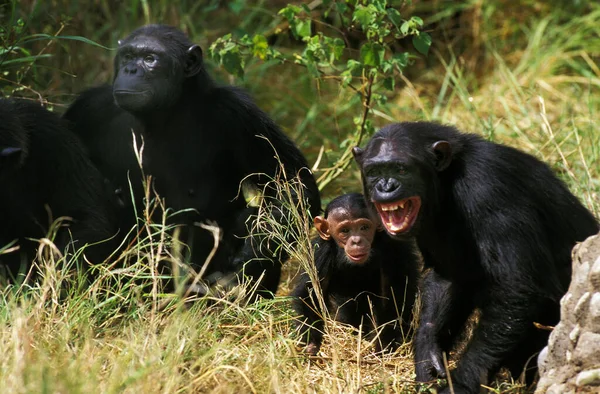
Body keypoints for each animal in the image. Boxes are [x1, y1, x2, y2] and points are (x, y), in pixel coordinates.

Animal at [62, 24, 322, 298]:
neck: (160, 114)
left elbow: (292, 182)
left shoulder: (239, 114)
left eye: (150, 59)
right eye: (128, 56)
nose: (131, 69)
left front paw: (250, 260)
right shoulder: (88, 109)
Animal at [290, 192, 418, 356]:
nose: (356, 241)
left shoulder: (395, 247)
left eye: (364, 227)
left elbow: (396, 295)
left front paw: (384, 344)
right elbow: (310, 295)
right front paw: (312, 343)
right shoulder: (320, 252)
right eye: (345, 230)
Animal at [352, 121, 600, 392]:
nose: (385, 186)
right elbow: (446, 278)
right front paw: (427, 354)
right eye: (374, 171)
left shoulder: (489, 189)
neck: (448, 180)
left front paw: (460, 383)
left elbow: (516, 288)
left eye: (401, 168)